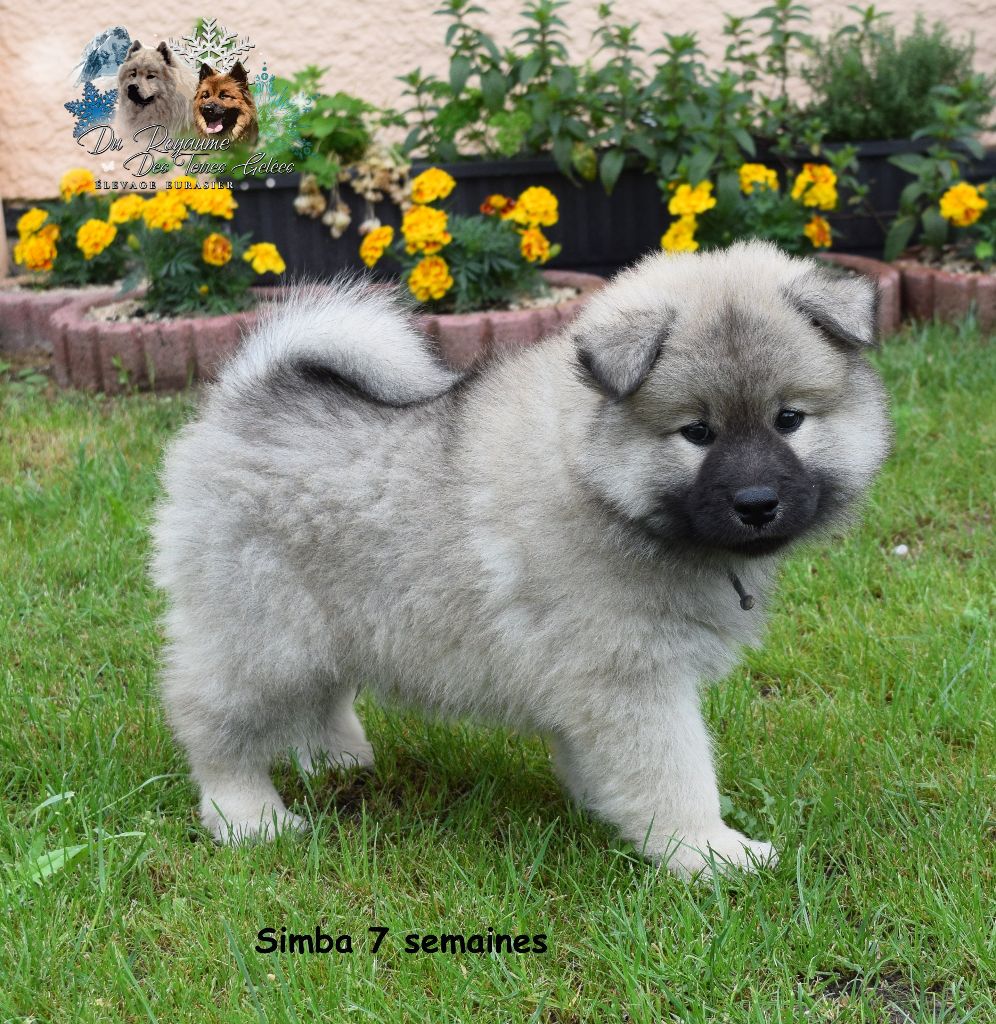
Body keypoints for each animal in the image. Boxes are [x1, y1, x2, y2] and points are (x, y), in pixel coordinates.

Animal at [151, 241, 888, 880]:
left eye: (788, 420)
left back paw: (339, 762)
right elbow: (673, 772)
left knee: (318, 696)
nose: (757, 503)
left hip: (330, 621)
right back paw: (248, 817)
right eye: (697, 433)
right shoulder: (632, 677)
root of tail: (245, 397)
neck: (597, 484)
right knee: (212, 723)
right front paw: (708, 853)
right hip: (262, 635)